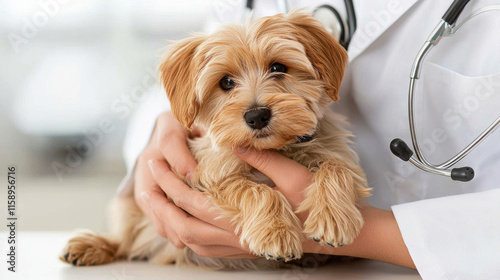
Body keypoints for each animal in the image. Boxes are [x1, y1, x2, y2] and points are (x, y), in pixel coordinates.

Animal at [59, 10, 372, 270]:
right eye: (226, 82)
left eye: (278, 68)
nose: (257, 115)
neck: (277, 148)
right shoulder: (210, 176)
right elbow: (258, 191)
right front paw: (277, 233)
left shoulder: (336, 152)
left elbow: (337, 169)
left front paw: (333, 218)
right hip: (128, 208)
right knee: (125, 239)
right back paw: (91, 246)